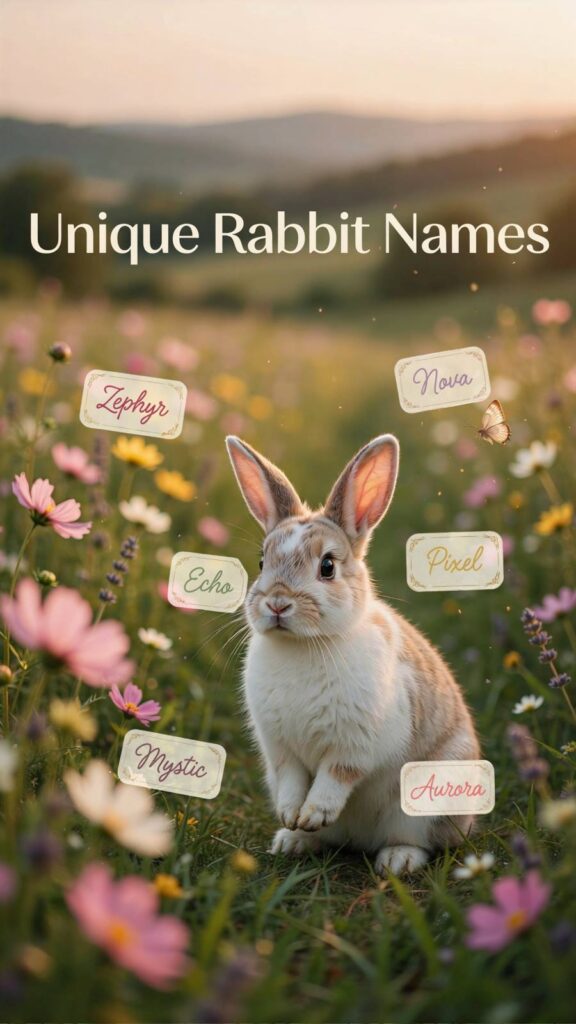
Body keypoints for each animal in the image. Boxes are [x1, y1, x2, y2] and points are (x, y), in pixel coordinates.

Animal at [225, 433, 480, 875]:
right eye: (261, 562)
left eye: (327, 566)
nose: (277, 604)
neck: (304, 645)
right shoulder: (280, 748)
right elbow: (292, 778)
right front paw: (292, 816)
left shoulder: (358, 741)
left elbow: (337, 775)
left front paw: (313, 814)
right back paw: (293, 840)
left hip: (423, 804)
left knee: (420, 840)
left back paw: (396, 860)